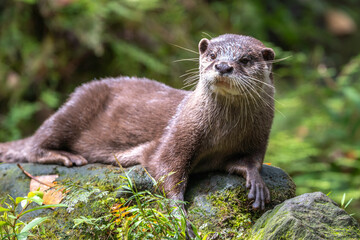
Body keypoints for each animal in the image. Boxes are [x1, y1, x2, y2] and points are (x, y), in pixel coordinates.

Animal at [0, 33, 276, 227]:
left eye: (245, 60)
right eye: (212, 55)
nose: (223, 66)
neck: (223, 134)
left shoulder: (259, 138)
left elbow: (250, 162)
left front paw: (256, 182)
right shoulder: (177, 134)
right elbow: (164, 168)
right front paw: (179, 216)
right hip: (76, 107)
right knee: (35, 144)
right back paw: (67, 156)